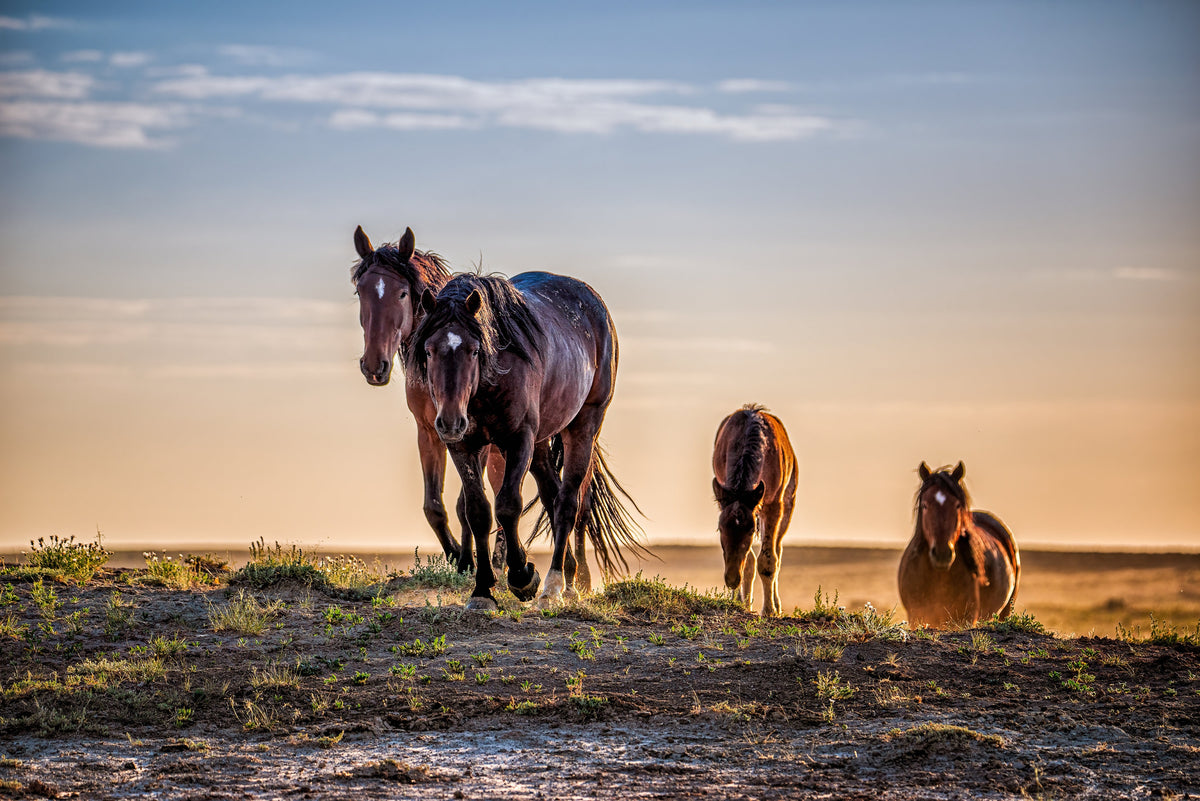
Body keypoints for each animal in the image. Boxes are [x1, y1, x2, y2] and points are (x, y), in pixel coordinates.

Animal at [351, 224, 504, 569]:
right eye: (360, 292)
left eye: (402, 293)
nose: (374, 366)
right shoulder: (429, 431)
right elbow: (434, 506)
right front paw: (459, 557)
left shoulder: (472, 436)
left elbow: (465, 504)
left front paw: (469, 560)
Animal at [406, 271, 646, 610]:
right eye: (428, 351)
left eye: (474, 350)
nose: (450, 422)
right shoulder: (463, 445)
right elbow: (478, 511)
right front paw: (482, 591)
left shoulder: (519, 439)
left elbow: (508, 505)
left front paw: (522, 577)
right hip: (542, 444)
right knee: (551, 495)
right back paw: (568, 579)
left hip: (583, 425)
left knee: (567, 502)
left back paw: (553, 587)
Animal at [712, 404, 798, 616]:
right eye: (720, 529)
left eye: (750, 530)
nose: (731, 578)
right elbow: (749, 561)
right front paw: (740, 602)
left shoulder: (773, 505)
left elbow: (768, 560)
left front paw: (769, 610)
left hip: (787, 506)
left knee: (778, 551)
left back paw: (776, 605)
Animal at [898, 462, 1021, 629]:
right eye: (924, 505)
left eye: (956, 505)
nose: (942, 554)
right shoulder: (915, 616)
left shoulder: (966, 618)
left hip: (1006, 610)